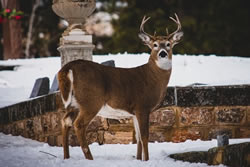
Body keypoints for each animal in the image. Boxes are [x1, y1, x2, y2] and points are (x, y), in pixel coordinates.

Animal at [57, 13, 183, 161]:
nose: (162, 53)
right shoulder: (142, 106)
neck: (153, 78)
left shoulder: (134, 112)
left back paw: (66, 157)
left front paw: (138, 159)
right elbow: (145, 137)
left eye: (168, 44)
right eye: (155, 45)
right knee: (78, 124)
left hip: (74, 103)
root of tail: (68, 68)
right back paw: (89, 158)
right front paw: (146, 160)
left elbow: (138, 138)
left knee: (65, 121)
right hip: (91, 100)